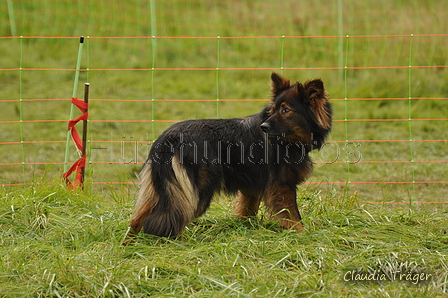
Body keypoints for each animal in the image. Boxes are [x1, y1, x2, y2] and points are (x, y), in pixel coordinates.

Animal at [128, 73, 330, 239]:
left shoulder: (252, 186)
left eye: (286, 110)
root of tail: (169, 138)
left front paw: (244, 228)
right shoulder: (282, 186)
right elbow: (294, 217)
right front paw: (303, 237)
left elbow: (247, 211)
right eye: (273, 110)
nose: (264, 127)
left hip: (161, 189)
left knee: (137, 220)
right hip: (194, 193)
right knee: (176, 220)